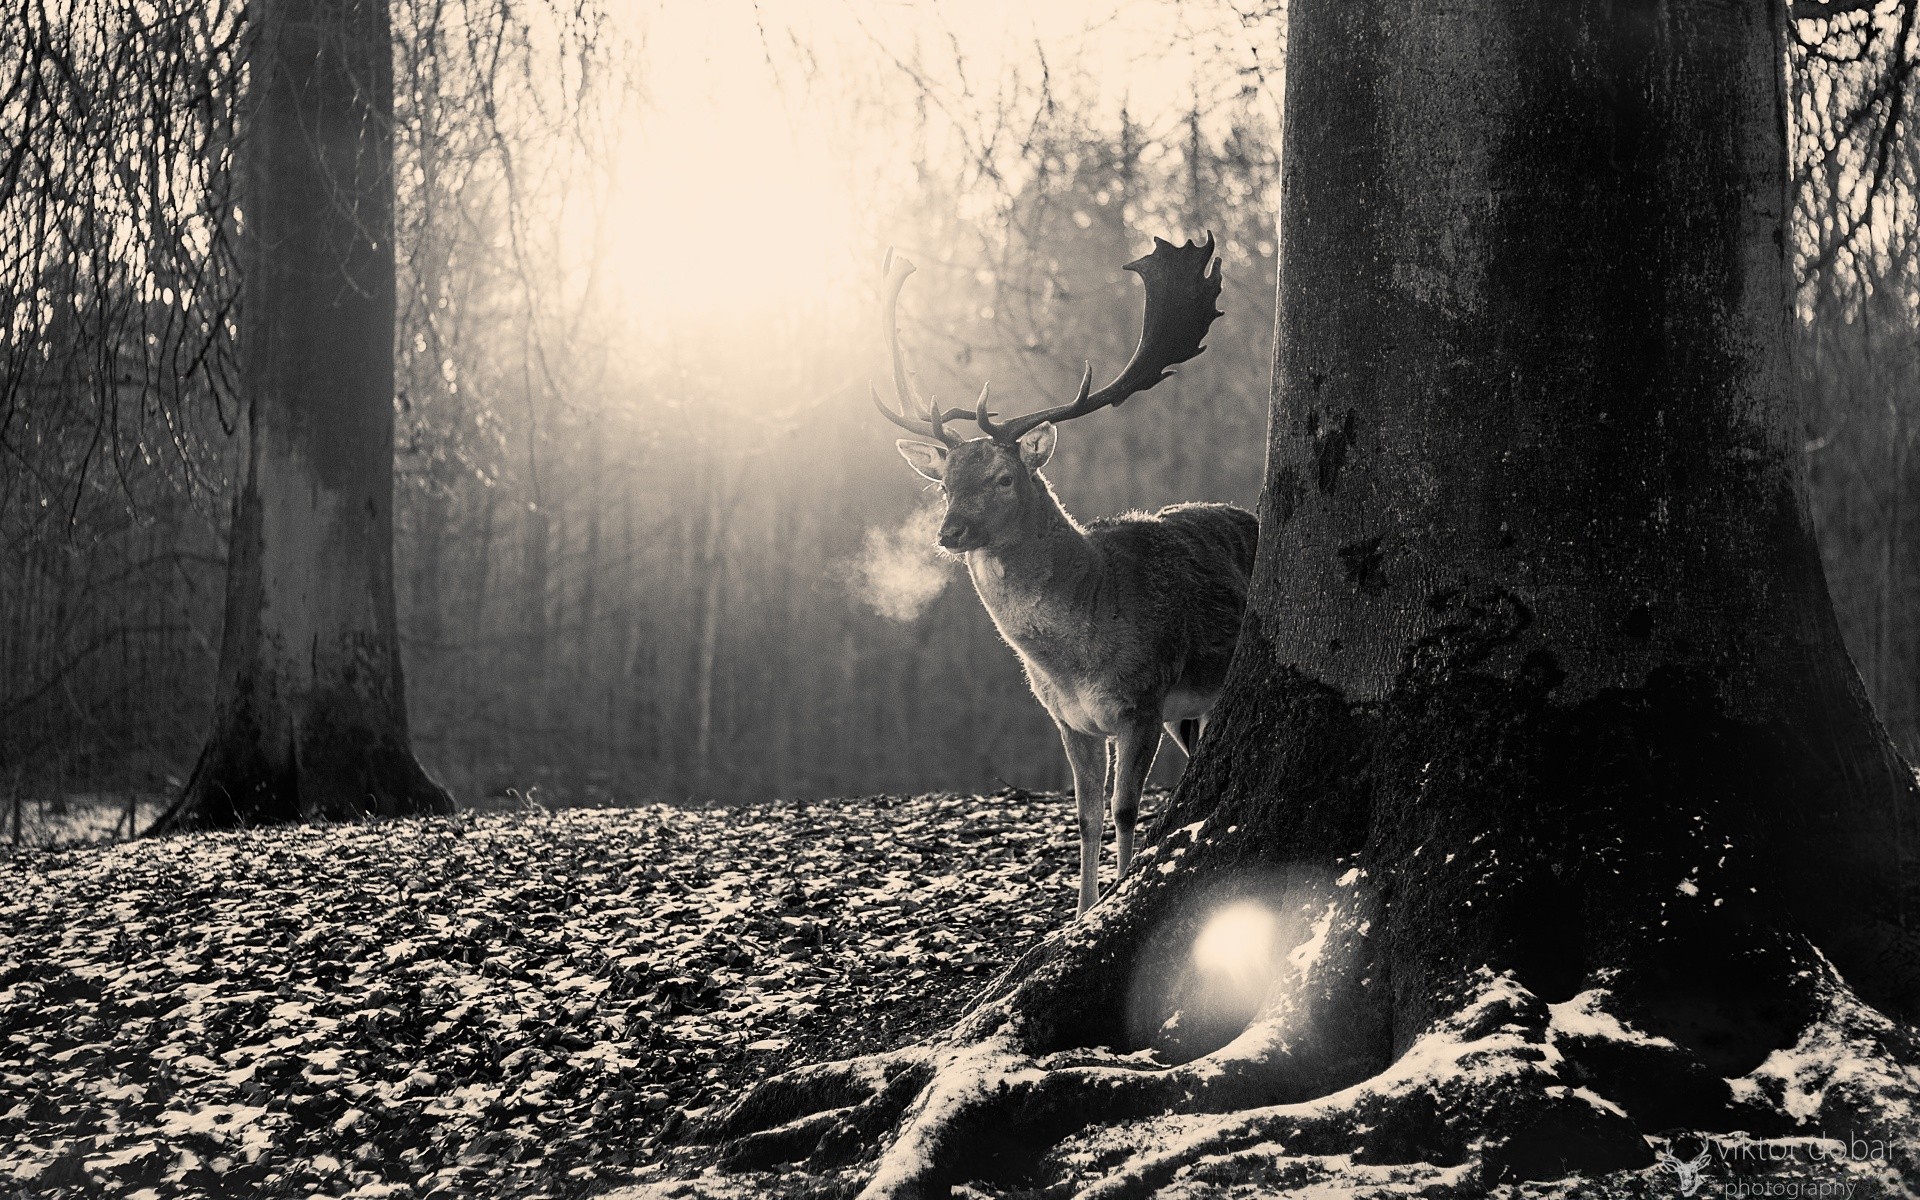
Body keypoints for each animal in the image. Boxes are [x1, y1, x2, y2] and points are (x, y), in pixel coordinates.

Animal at [875, 234, 1259, 913]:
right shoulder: (1068, 720)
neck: (1074, 656)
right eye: (944, 484)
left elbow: (1126, 809)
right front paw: (1077, 913)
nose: (950, 533)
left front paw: (1117, 895)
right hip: (1190, 709)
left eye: (1004, 477)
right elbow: (1084, 817)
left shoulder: (1141, 700)